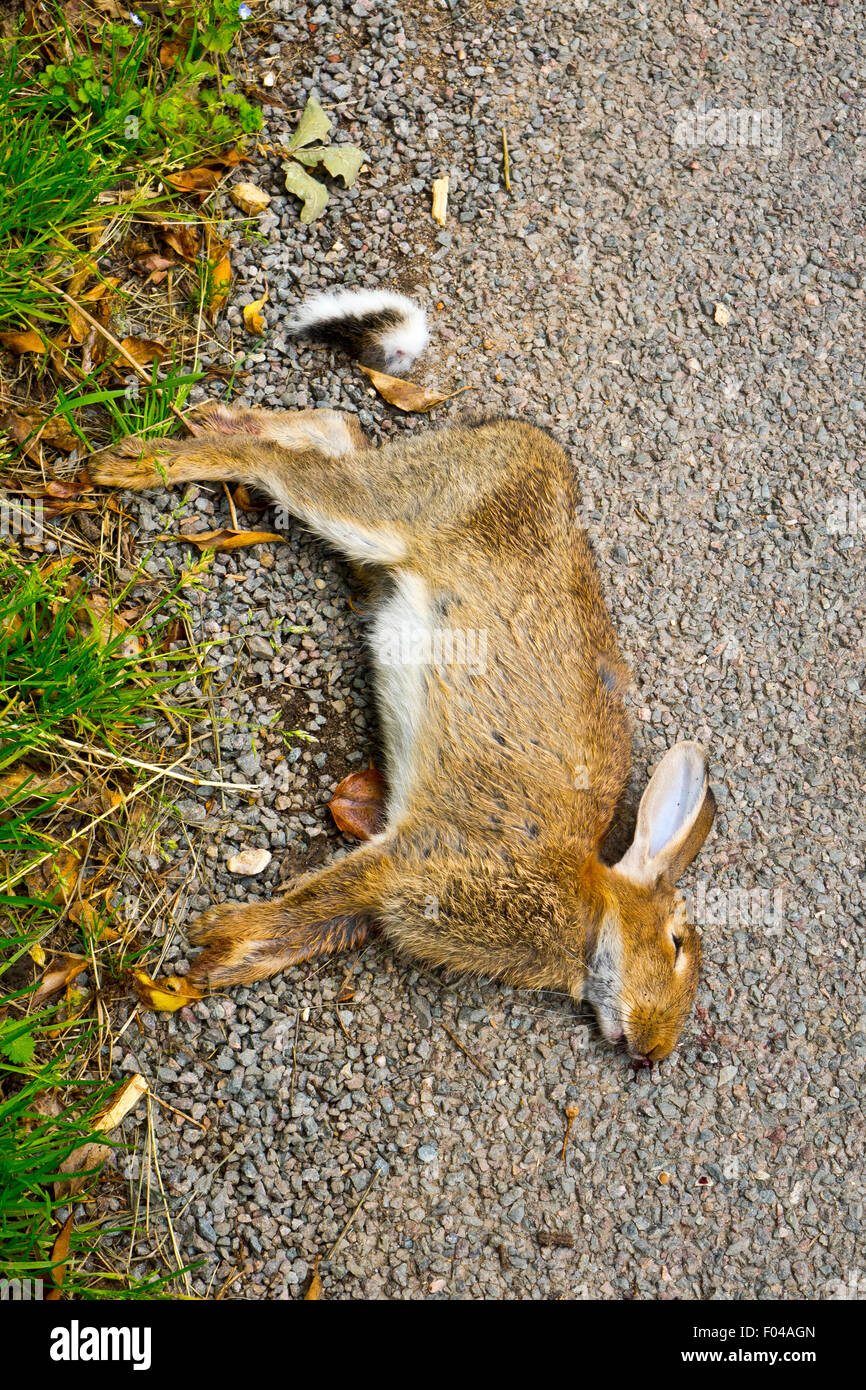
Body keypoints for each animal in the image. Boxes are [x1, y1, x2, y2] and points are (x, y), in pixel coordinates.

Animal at [89, 308, 715, 1065]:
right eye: (676, 945)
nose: (653, 1053)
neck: (590, 909)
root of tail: (523, 442)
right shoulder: (408, 869)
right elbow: (312, 901)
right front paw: (220, 933)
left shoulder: (382, 893)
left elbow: (306, 929)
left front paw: (220, 963)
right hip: (385, 515)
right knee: (282, 467)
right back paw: (135, 461)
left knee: (337, 434)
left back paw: (223, 418)